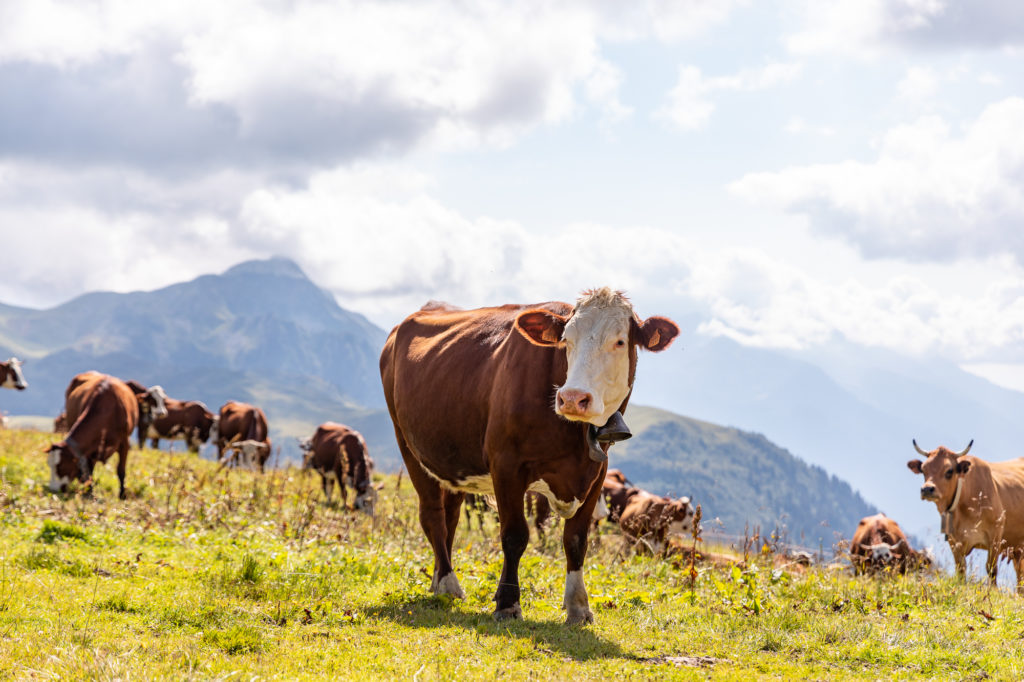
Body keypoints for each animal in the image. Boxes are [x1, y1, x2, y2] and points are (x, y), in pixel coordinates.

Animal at [48, 368, 139, 497]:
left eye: (60, 466)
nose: (53, 489)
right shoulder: (89, 448)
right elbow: (89, 471)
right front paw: (89, 492)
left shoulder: (124, 442)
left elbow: (121, 470)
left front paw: (122, 495)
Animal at [378, 286, 679, 622]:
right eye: (566, 340)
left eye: (620, 341)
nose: (572, 398)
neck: (573, 438)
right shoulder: (506, 465)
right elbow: (514, 536)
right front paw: (508, 603)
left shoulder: (597, 473)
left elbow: (576, 540)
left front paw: (578, 606)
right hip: (408, 444)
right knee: (432, 516)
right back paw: (447, 583)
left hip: (452, 462)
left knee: (450, 519)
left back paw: (436, 580)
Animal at [909, 438, 1024, 585]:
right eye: (923, 470)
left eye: (949, 471)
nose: (927, 489)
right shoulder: (954, 541)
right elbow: (961, 569)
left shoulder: (995, 536)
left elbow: (991, 570)